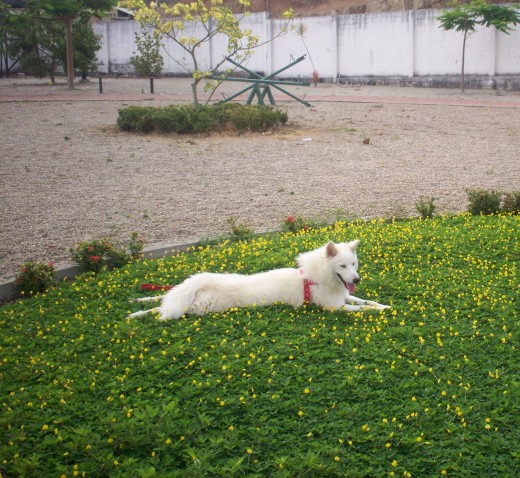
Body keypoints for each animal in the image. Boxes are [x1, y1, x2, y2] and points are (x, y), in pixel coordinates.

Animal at [129, 239, 390, 322]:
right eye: (342, 266)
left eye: (353, 264)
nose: (357, 278)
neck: (317, 277)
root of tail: (201, 283)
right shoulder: (335, 307)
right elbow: (361, 309)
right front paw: (380, 311)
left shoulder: (345, 296)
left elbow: (367, 301)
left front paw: (385, 306)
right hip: (196, 307)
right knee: (163, 306)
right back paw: (137, 313)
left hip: (187, 298)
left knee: (165, 296)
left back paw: (137, 304)